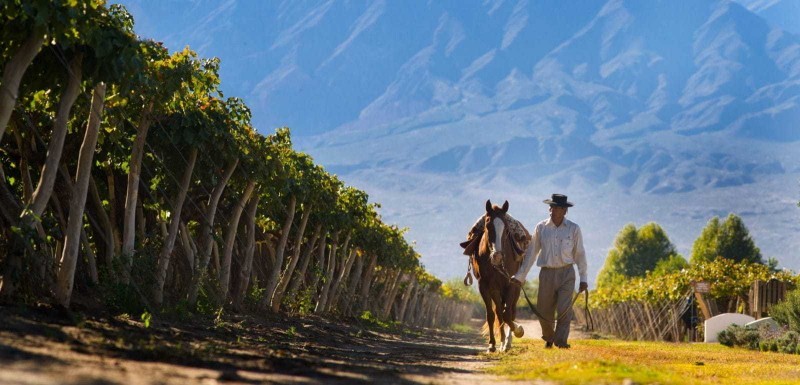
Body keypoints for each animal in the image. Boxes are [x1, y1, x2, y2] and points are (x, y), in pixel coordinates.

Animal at [462, 200, 524, 352]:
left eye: (506, 229)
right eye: (488, 226)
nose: (497, 256)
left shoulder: (510, 284)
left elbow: (508, 314)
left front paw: (519, 330)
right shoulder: (484, 285)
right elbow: (491, 314)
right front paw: (492, 344)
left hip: (516, 289)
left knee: (511, 311)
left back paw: (507, 342)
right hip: (496, 290)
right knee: (499, 312)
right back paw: (501, 341)